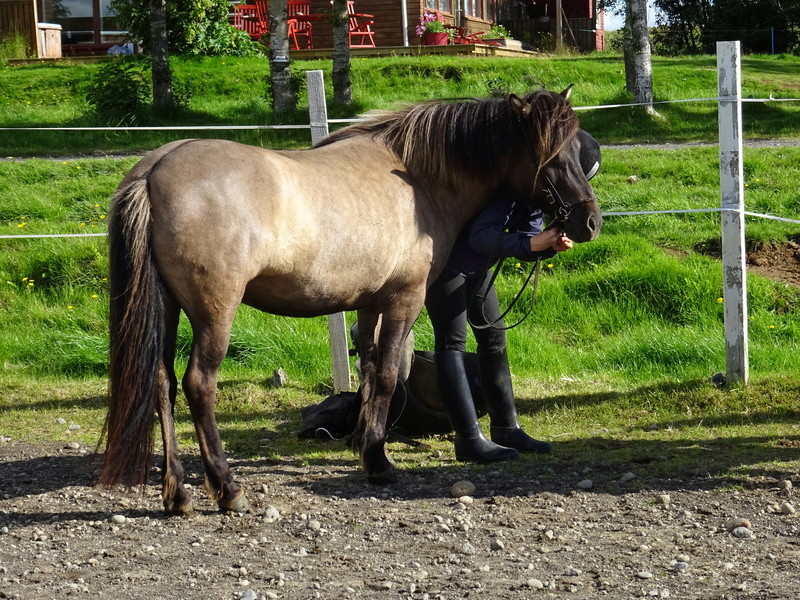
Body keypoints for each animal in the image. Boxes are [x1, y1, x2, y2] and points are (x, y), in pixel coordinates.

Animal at [98, 86, 600, 512]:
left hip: (168, 308)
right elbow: (386, 376)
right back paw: (227, 488)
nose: (589, 222)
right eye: (550, 156)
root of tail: (154, 170)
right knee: (199, 384)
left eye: (576, 153)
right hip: (213, 312)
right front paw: (378, 463)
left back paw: (177, 493)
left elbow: (373, 372)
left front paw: (364, 444)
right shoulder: (404, 300)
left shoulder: (370, 302)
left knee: (161, 383)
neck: (419, 179)